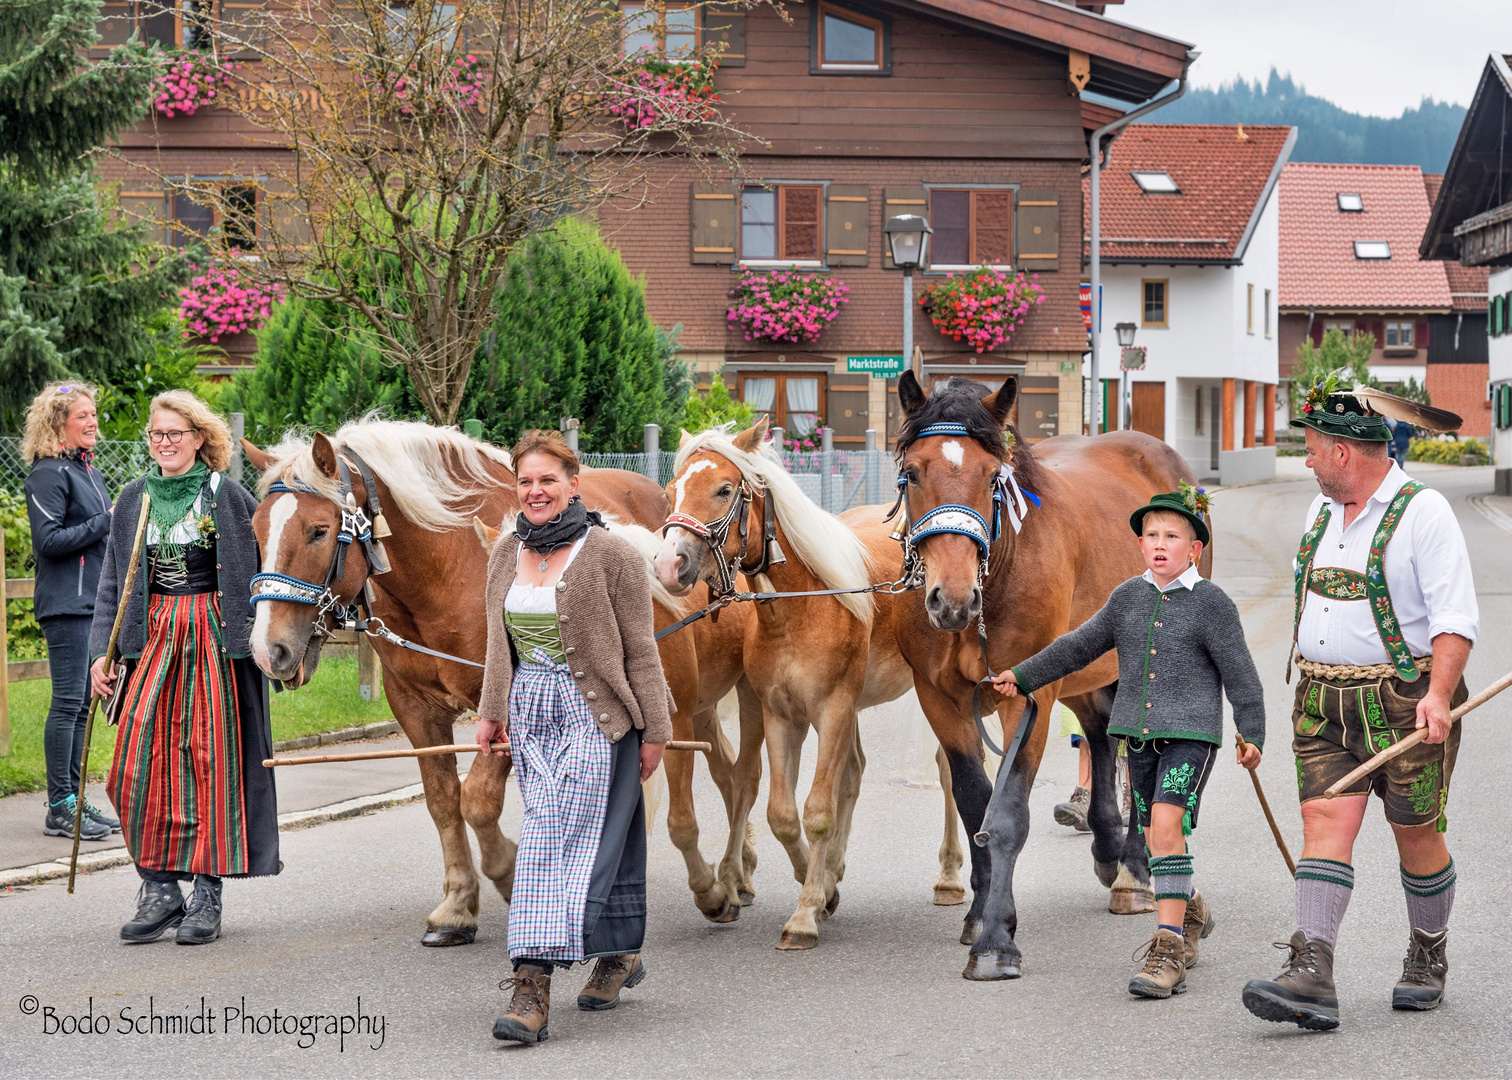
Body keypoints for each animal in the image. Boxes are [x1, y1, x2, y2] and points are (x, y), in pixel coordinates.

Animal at [246, 420, 762, 943]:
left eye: (319, 530)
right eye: (256, 530)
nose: (269, 650)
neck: (448, 569)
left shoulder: (505, 707)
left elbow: (476, 800)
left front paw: (510, 874)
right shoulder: (414, 708)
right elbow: (443, 802)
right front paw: (457, 903)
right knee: (724, 767)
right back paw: (737, 868)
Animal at [653, 417, 967, 943]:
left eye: (723, 490)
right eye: (672, 491)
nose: (668, 566)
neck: (801, 607)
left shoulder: (833, 709)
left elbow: (817, 811)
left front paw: (804, 915)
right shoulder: (783, 716)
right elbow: (783, 814)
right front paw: (818, 888)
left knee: (949, 771)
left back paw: (948, 877)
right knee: (856, 772)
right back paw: (833, 872)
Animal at [889, 367, 1209, 974]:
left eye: (993, 476)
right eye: (913, 472)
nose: (953, 599)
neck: (1000, 570)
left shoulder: (1027, 697)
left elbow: (1008, 814)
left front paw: (996, 939)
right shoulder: (938, 696)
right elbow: (974, 804)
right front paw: (979, 915)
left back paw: (1134, 872)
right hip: (1086, 662)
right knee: (1101, 732)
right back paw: (1108, 846)